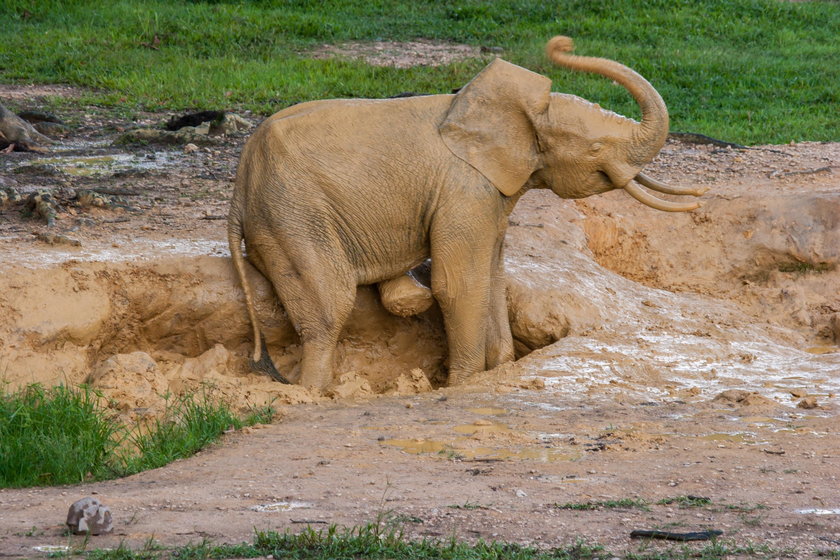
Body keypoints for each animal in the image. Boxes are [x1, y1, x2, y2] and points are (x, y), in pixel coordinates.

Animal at [226, 35, 704, 390]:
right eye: (595, 147)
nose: (561, 42)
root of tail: (238, 190)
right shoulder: (464, 189)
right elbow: (459, 283)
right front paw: (464, 384)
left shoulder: (489, 194)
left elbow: (492, 275)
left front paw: (501, 369)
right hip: (292, 212)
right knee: (330, 303)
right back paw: (312, 392)